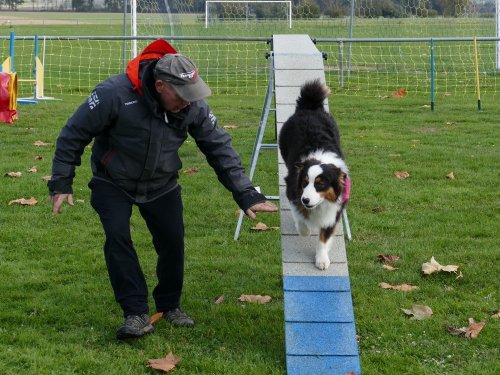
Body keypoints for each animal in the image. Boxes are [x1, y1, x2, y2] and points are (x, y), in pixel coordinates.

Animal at [278, 81, 352, 272]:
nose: (306, 200)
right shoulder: (293, 189)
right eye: (305, 183)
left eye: (321, 184)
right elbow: (299, 216)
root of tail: (309, 107)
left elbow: (324, 237)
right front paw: (304, 230)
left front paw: (322, 259)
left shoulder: (335, 209)